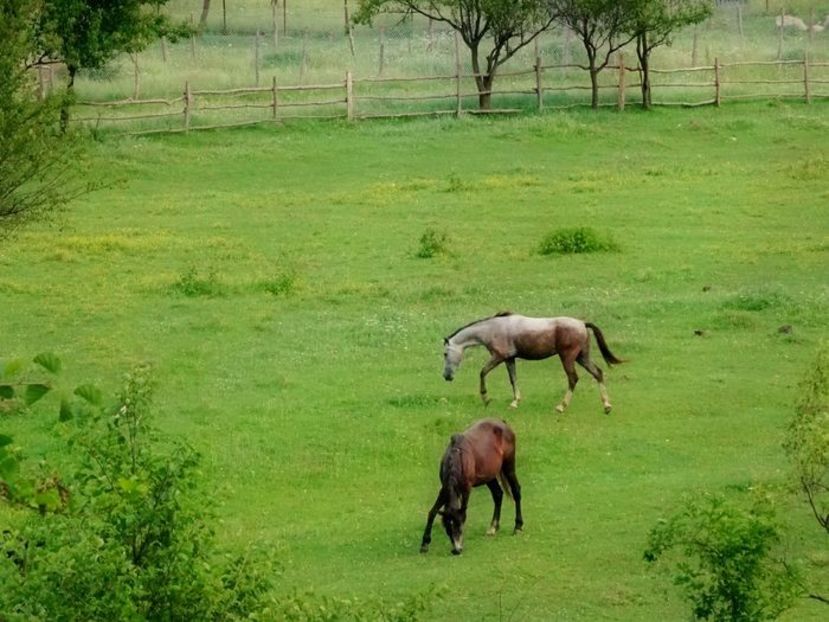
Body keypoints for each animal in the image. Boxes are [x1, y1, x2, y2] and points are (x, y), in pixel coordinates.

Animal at [420, 420, 516, 556]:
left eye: (459, 527)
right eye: (448, 529)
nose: (456, 550)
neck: (457, 457)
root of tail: (503, 423)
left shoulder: (466, 489)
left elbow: (463, 513)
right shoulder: (444, 489)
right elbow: (432, 512)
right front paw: (424, 544)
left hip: (509, 466)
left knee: (517, 491)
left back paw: (518, 527)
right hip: (490, 476)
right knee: (498, 494)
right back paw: (493, 527)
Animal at [440, 312, 620, 414]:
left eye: (445, 353)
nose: (446, 376)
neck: (492, 329)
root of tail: (582, 324)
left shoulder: (499, 357)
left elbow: (483, 372)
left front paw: (485, 398)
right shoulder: (509, 359)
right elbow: (513, 379)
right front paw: (515, 403)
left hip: (568, 358)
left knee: (573, 378)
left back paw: (561, 406)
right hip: (582, 357)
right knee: (598, 373)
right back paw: (607, 406)